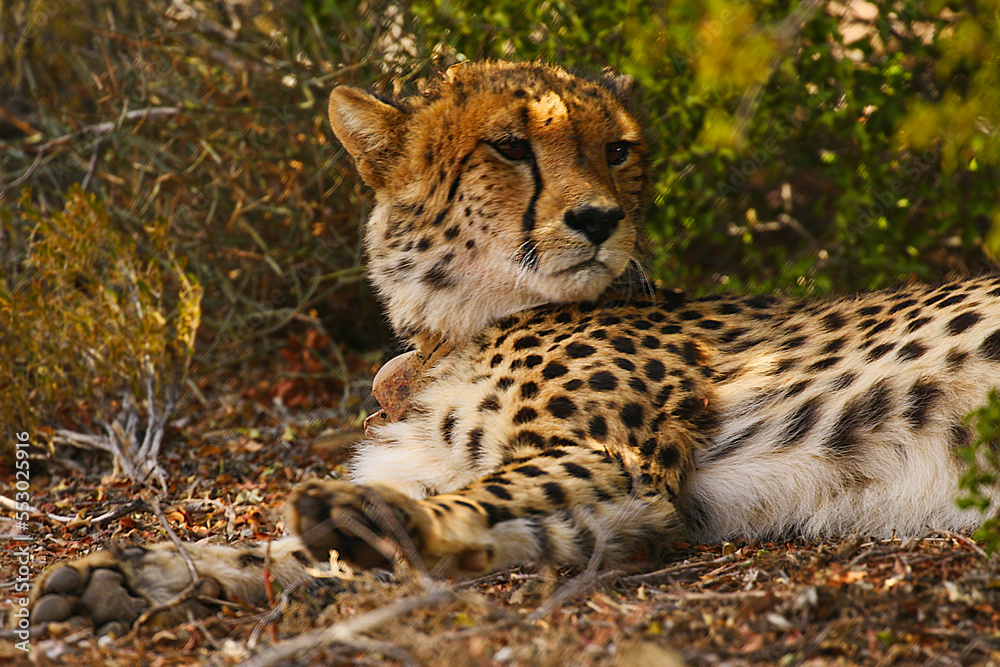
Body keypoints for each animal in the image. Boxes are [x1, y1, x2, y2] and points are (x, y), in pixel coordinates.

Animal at [28, 60, 1000, 634]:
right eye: (508, 145)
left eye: (616, 150)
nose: (599, 219)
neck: (458, 327)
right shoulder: (622, 507)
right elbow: (297, 547)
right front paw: (141, 574)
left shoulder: (624, 468)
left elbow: (457, 498)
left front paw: (362, 521)